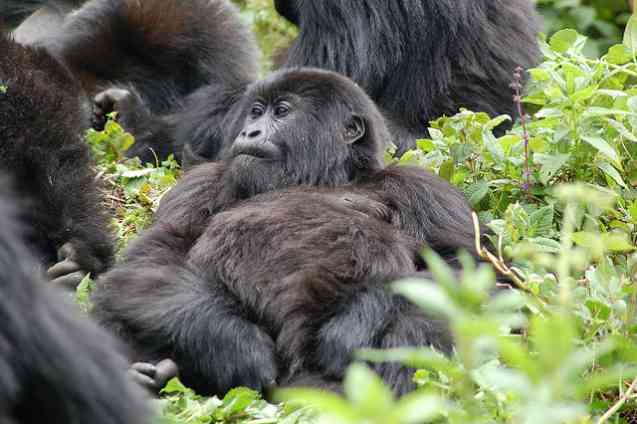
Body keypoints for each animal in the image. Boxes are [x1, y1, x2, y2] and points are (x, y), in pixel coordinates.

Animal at [93, 68, 482, 398]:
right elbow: (155, 257)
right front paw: (240, 348)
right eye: (254, 113)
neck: (320, 177)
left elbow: (463, 269)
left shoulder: (421, 188)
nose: (249, 132)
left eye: (281, 112)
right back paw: (151, 375)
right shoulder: (200, 183)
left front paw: (355, 322)